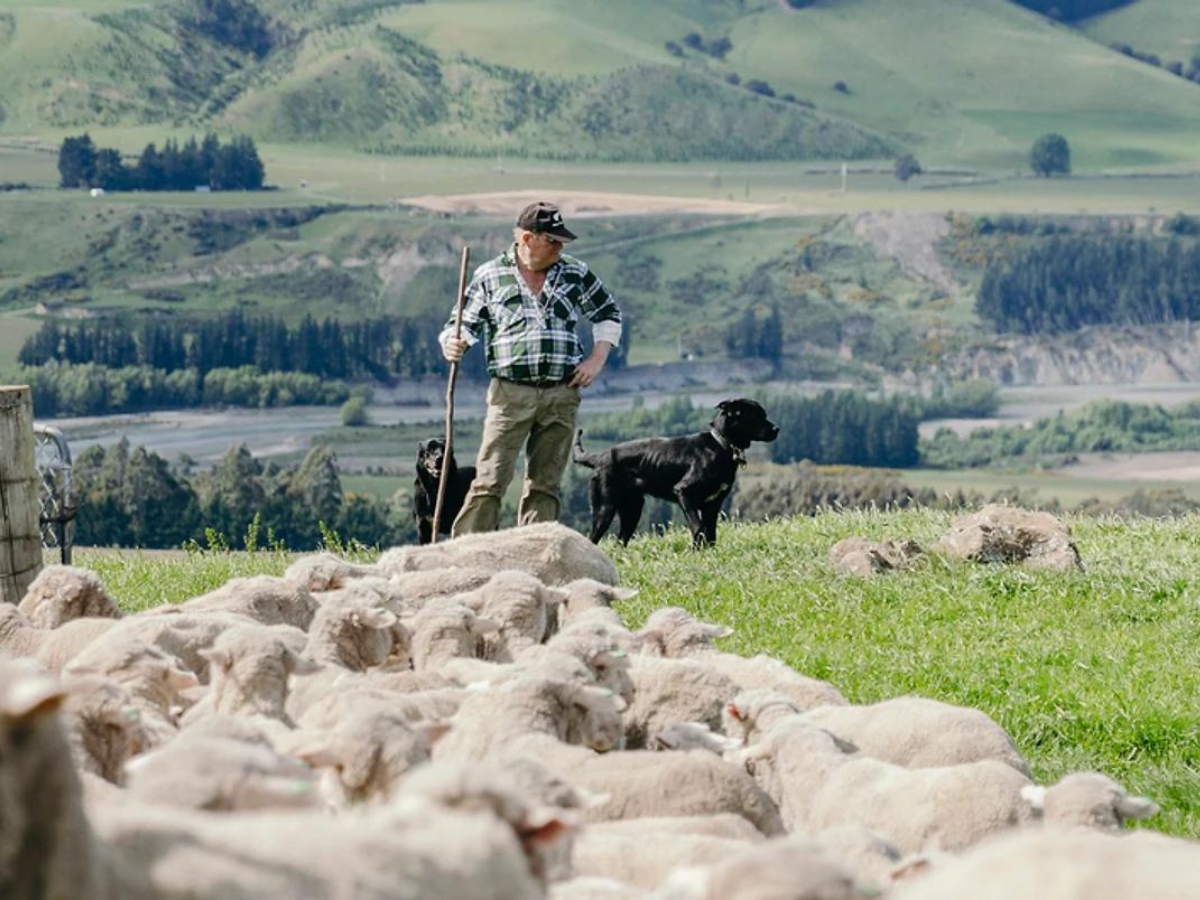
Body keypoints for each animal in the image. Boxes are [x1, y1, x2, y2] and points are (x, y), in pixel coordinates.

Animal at [571, 400, 777, 549]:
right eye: (755, 415)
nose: (777, 429)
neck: (720, 445)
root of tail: (599, 457)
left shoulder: (713, 504)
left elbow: (711, 533)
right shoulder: (684, 492)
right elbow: (698, 527)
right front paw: (696, 551)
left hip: (632, 509)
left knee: (620, 541)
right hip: (604, 509)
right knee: (593, 538)